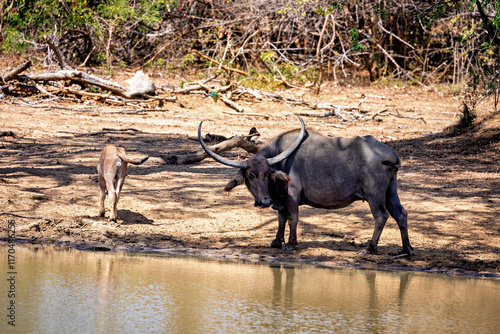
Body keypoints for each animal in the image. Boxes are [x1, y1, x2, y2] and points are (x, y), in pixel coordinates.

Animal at [197, 116, 412, 254]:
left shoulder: (291, 196)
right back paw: (406, 249)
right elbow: (281, 218)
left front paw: (291, 244)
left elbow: (292, 218)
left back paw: (370, 248)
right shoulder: (280, 200)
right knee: (400, 213)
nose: (264, 201)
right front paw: (276, 241)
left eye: (267, 173)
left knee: (381, 216)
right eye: (251, 174)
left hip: (374, 195)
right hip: (391, 191)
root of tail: (392, 154)